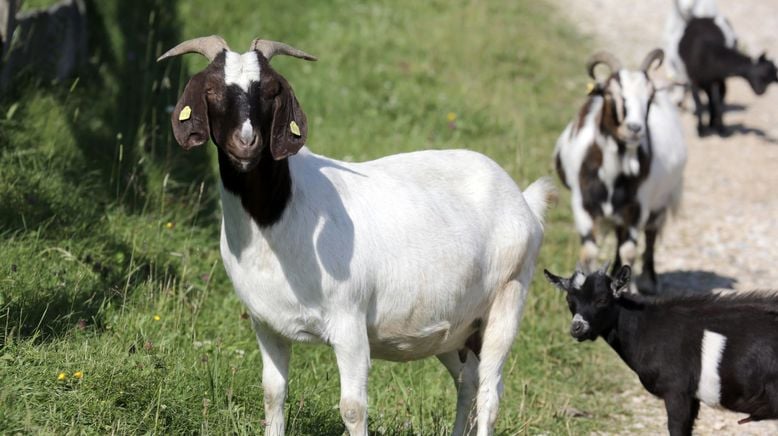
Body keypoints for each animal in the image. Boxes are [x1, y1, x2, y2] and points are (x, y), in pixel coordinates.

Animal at [544, 266, 776, 436]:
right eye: (569, 301)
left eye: (602, 299)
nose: (577, 328)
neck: (647, 326)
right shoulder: (691, 397)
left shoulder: (676, 391)